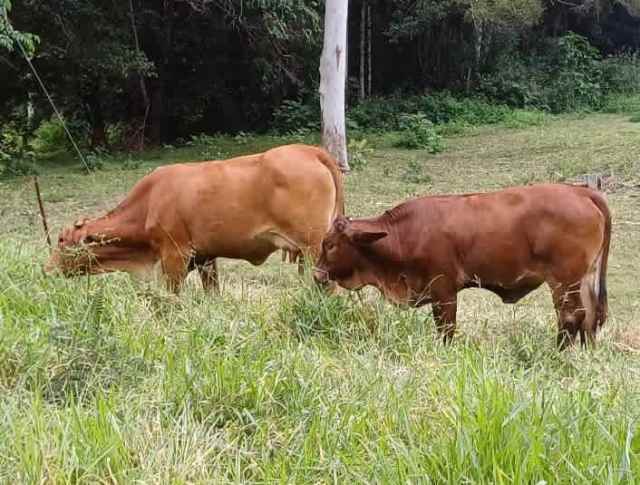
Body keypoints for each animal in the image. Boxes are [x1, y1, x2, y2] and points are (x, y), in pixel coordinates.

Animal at [43, 144, 344, 292]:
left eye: (62, 241)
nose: (46, 270)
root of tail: (309, 150)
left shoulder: (174, 255)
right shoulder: (205, 258)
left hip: (314, 248)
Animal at [314, 183, 608, 346]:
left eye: (329, 244)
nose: (317, 274)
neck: (404, 234)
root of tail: (580, 191)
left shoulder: (443, 291)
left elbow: (446, 329)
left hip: (564, 281)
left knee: (571, 317)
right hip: (584, 278)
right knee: (590, 318)